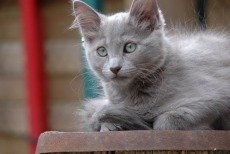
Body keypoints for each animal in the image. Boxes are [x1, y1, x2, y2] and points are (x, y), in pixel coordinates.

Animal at [73, 0, 230, 131]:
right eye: (102, 51)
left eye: (130, 47)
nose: (115, 68)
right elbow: (100, 117)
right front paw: (110, 125)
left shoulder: (214, 98)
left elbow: (167, 121)